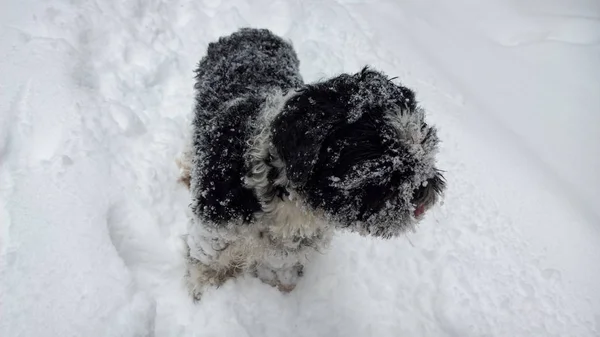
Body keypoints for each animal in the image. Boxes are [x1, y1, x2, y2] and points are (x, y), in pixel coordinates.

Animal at [178, 26, 446, 300]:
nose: (424, 189)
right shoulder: (216, 234)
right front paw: (201, 296)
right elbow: (206, 270)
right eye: (380, 150)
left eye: (427, 142)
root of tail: (251, 30)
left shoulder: (285, 255)